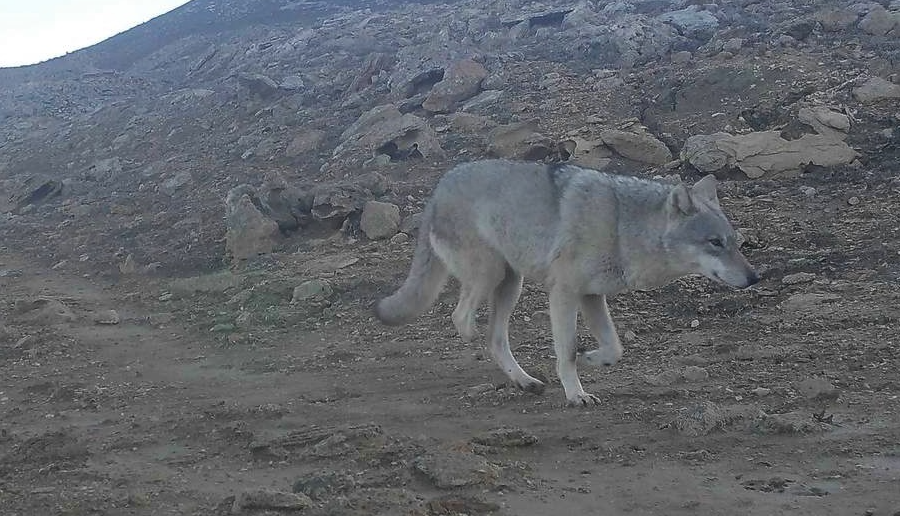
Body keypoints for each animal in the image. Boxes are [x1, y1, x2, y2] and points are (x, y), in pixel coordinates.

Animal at [372, 159, 760, 406]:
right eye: (715, 243)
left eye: (735, 242)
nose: (754, 277)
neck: (621, 226)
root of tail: (438, 188)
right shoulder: (564, 293)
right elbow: (568, 350)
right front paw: (577, 394)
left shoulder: (592, 296)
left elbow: (615, 348)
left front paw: (594, 359)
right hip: (492, 276)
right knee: (463, 318)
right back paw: (475, 339)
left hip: (511, 284)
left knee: (495, 339)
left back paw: (525, 381)